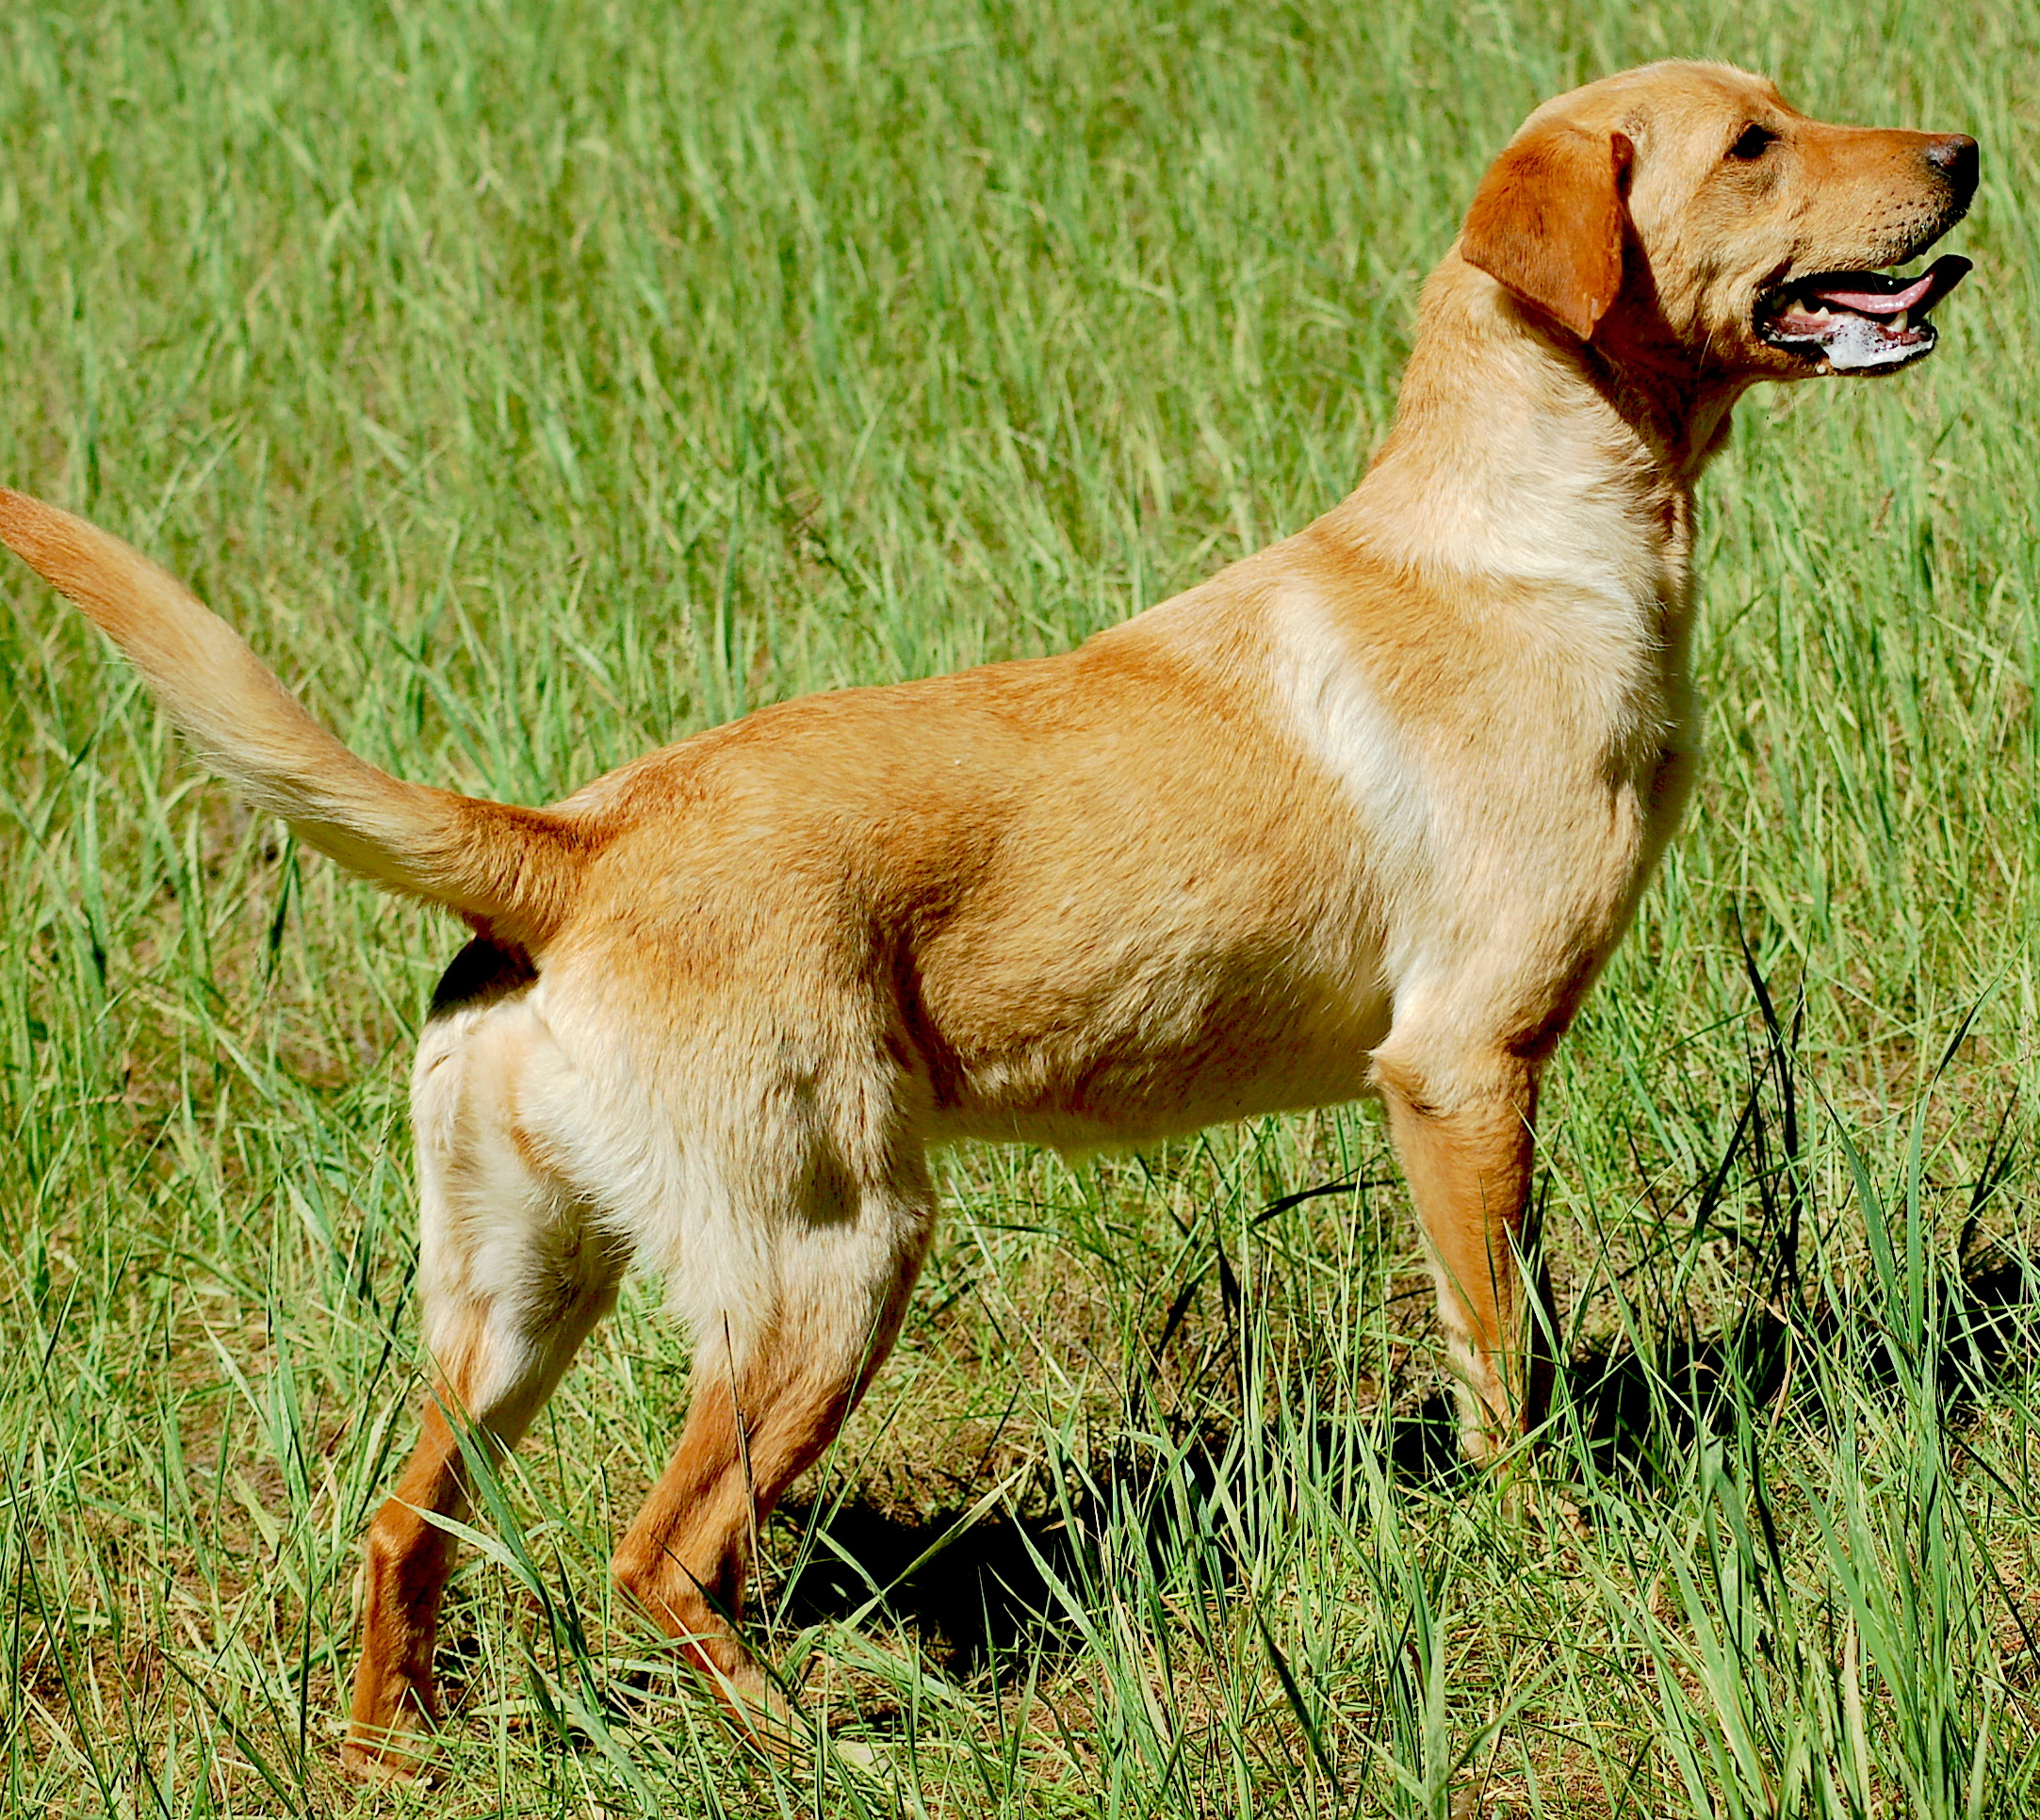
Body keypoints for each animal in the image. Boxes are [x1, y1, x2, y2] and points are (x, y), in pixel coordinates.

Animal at [0, 60, 1975, 1781]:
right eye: (1751, 144)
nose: (1964, 150)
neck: (1531, 533)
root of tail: (571, 842)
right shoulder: (1461, 1062)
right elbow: (1503, 1370)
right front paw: (1545, 1535)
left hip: (516, 1297)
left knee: (402, 1530)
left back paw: (389, 1752)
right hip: (834, 1258)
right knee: (664, 1552)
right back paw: (821, 1752)